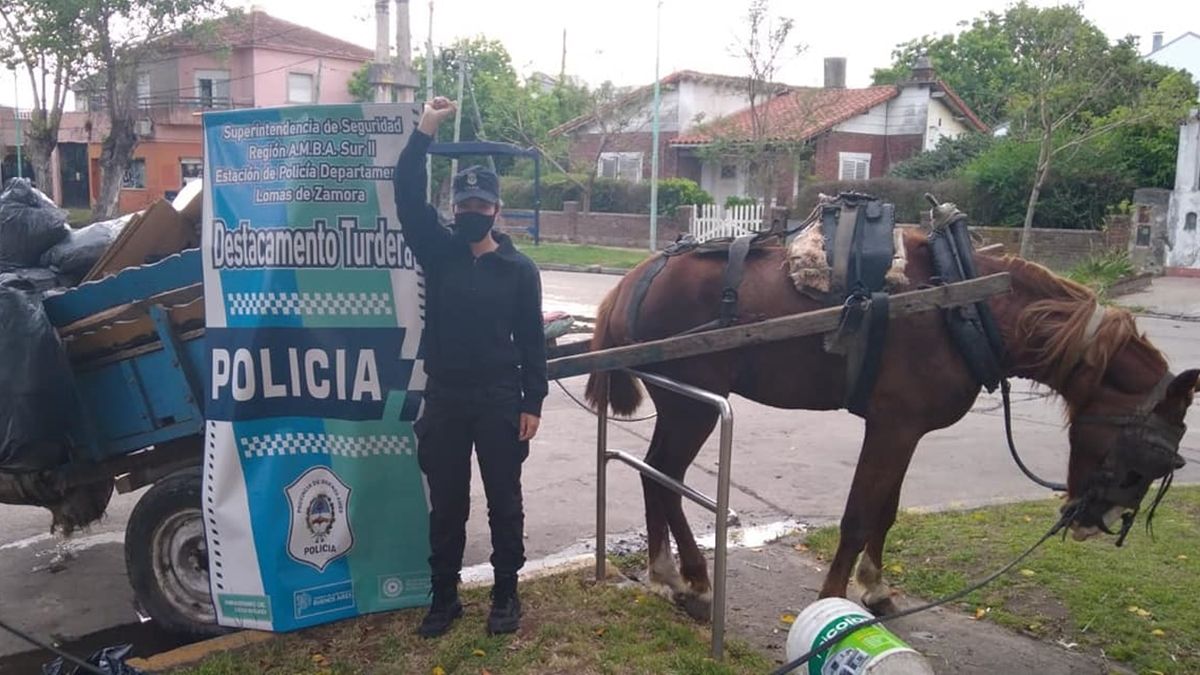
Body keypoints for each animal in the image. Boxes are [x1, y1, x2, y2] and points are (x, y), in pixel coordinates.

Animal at [583, 228, 1196, 619]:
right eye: (1154, 458)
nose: (1097, 523)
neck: (966, 306)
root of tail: (636, 278)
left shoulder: (905, 429)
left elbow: (886, 510)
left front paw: (875, 589)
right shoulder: (891, 426)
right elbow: (857, 516)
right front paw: (830, 601)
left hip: (682, 403)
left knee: (654, 472)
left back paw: (664, 573)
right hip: (691, 405)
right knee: (666, 474)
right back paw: (695, 581)